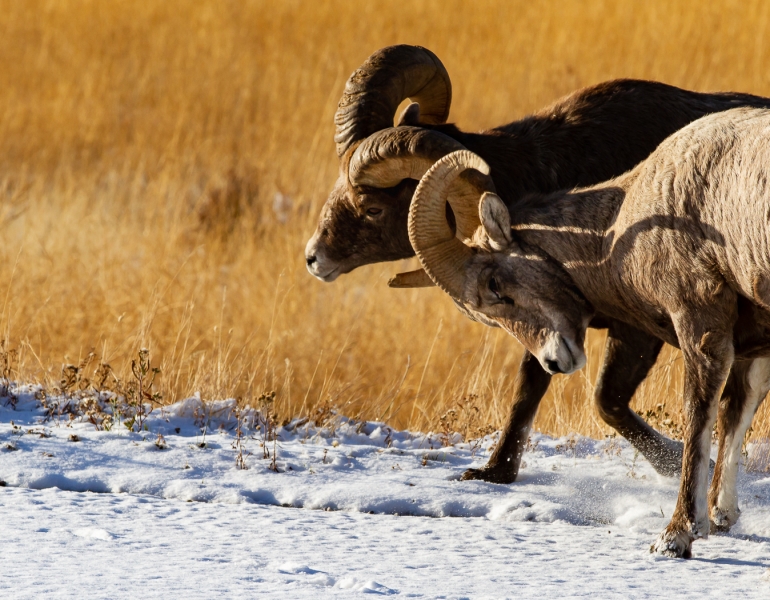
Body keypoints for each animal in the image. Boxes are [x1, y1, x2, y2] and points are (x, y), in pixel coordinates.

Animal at [304, 43, 768, 482]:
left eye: (371, 208)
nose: (313, 258)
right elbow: (531, 387)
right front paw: (494, 472)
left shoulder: (638, 326)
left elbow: (606, 401)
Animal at [408, 109, 770, 556]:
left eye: (496, 285)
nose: (553, 362)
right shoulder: (753, 345)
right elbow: (736, 414)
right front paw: (722, 517)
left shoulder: (700, 322)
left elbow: (699, 416)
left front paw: (675, 537)